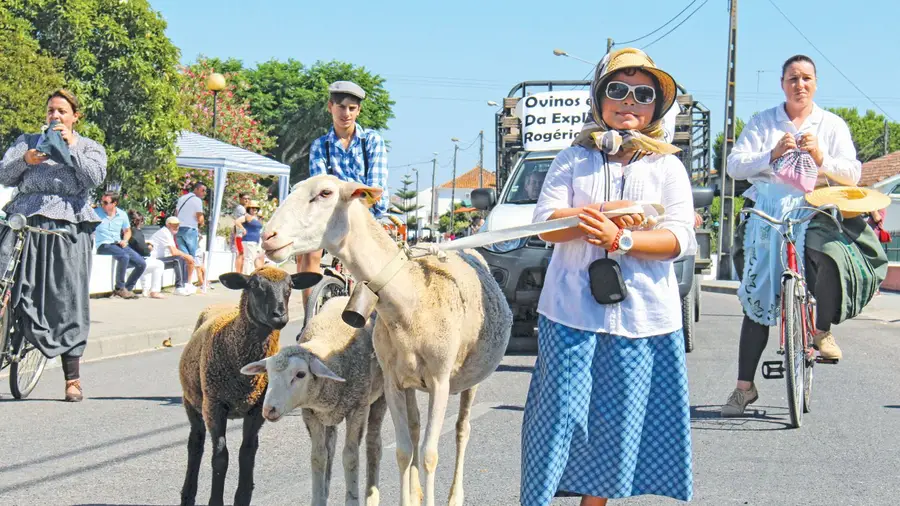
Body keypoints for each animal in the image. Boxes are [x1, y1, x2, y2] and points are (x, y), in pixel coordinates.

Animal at [241, 296, 384, 506]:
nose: (269, 410)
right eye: (269, 373)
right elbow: (318, 457)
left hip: (380, 399)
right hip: (331, 415)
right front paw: (318, 498)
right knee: (330, 448)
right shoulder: (311, 413)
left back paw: (371, 497)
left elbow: (350, 457)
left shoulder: (358, 409)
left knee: (373, 445)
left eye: (300, 374)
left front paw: (352, 499)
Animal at [260, 175, 512, 506]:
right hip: (411, 381)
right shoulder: (392, 381)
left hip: (470, 380)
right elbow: (404, 451)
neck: (411, 298)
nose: (267, 236)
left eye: (325, 193)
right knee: (416, 429)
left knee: (461, 429)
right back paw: (416, 492)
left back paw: (455, 495)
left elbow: (430, 454)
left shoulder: (440, 381)